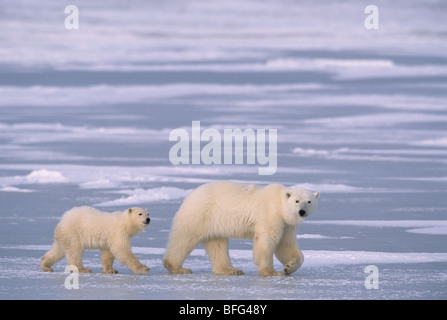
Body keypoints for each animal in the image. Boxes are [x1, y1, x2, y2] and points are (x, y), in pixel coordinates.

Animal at [164, 181, 318, 276]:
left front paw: (288, 268)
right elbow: (267, 240)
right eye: (296, 201)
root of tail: (190, 195)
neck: (280, 204)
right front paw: (271, 271)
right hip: (199, 214)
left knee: (217, 244)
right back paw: (178, 267)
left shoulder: (287, 225)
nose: (302, 212)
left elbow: (285, 245)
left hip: (215, 223)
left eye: (309, 201)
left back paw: (230, 270)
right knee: (184, 238)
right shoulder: (270, 214)